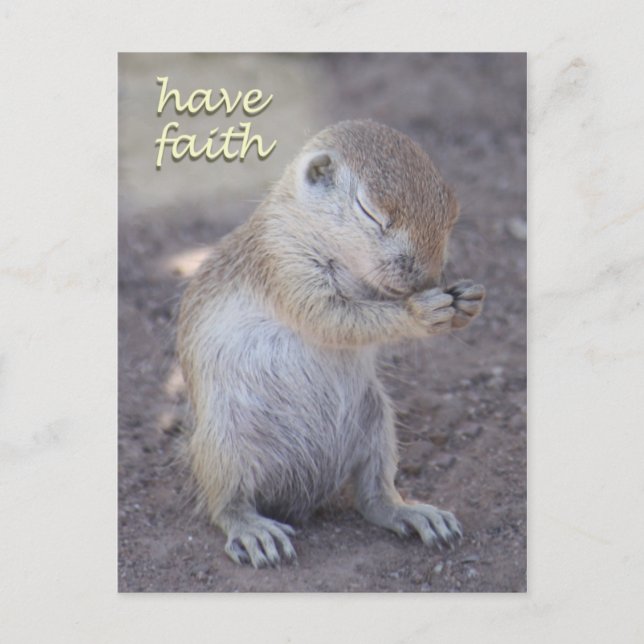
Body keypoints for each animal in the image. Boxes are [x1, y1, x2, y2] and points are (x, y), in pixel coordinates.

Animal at [177, 120, 485, 568]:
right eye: (371, 212)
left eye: (454, 213)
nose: (427, 280)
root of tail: (300, 496)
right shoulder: (285, 265)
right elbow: (332, 318)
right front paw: (419, 313)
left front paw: (467, 300)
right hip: (223, 445)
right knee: (225, 504)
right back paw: (255, 532)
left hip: (378, 424)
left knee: (373, 496)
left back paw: (413, 513)